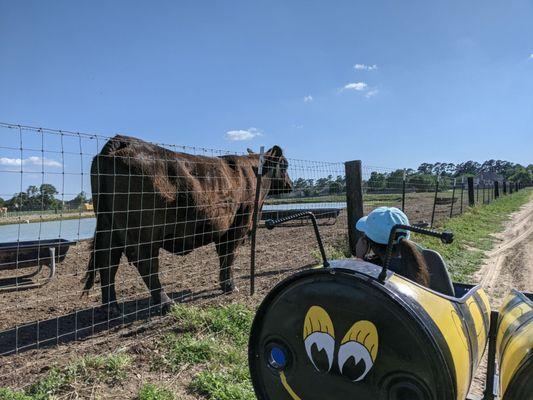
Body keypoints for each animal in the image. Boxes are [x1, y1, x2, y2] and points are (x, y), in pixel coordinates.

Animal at [83, 136, 290, 314]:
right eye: (285, 165)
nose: (290, 185)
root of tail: (122, 140)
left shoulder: (223, 229)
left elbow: (223, 256)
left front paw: (224, 284)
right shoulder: (239, 224)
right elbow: (229, 255)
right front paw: (230, 286)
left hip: (108, 229)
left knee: (108, 263)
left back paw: (112, 308)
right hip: (144, 234)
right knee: (146, 265)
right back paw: (166, 303)